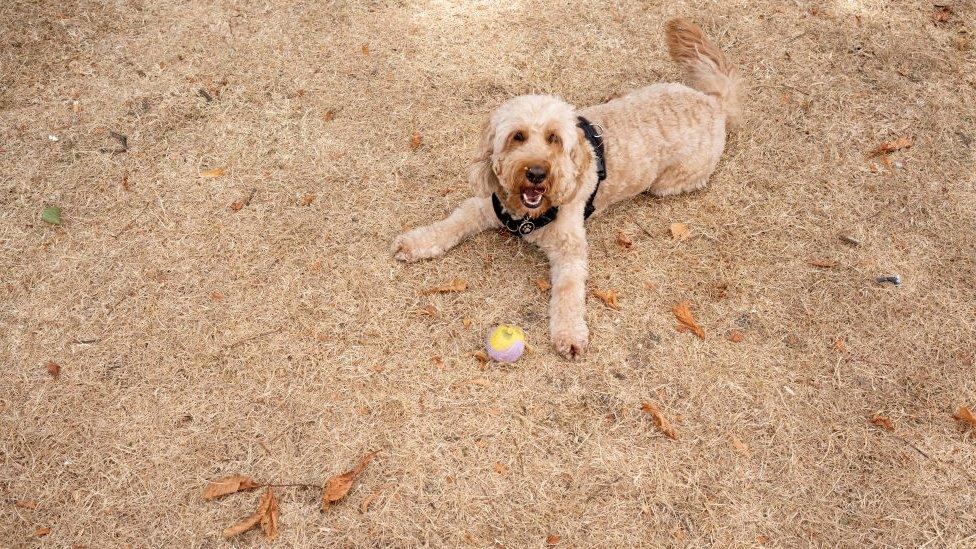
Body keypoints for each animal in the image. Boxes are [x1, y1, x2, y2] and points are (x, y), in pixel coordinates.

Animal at [392, 18, 744, 360]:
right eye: (518, 136)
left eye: (554, 138)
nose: (536, 173)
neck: (529, 214)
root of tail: (713, 103)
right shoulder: (487, 205)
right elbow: (453, 222)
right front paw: (416, 242)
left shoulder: (570, 247)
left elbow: (568, 290)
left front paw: (569, 334)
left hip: (671, 181)